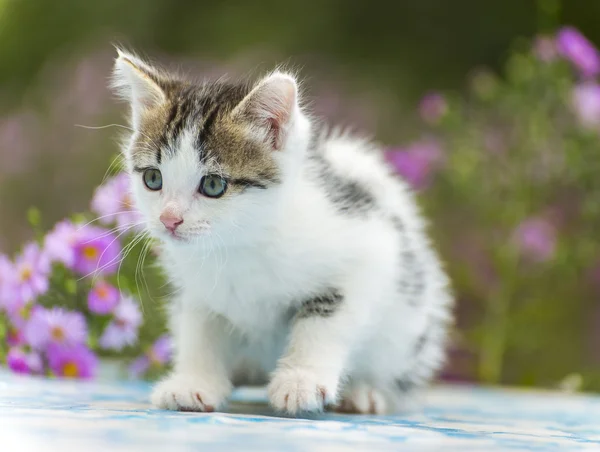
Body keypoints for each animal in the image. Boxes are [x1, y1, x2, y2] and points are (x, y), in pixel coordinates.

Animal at [110, 48, 452, 414]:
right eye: (153, 178)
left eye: (213, 185)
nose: (169, 219)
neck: (239, 245)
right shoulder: (196, 289)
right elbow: (199, 329)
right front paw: (194, 383)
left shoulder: (370, 252)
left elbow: (324, 322)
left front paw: (301, 382)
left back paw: (365, 393)